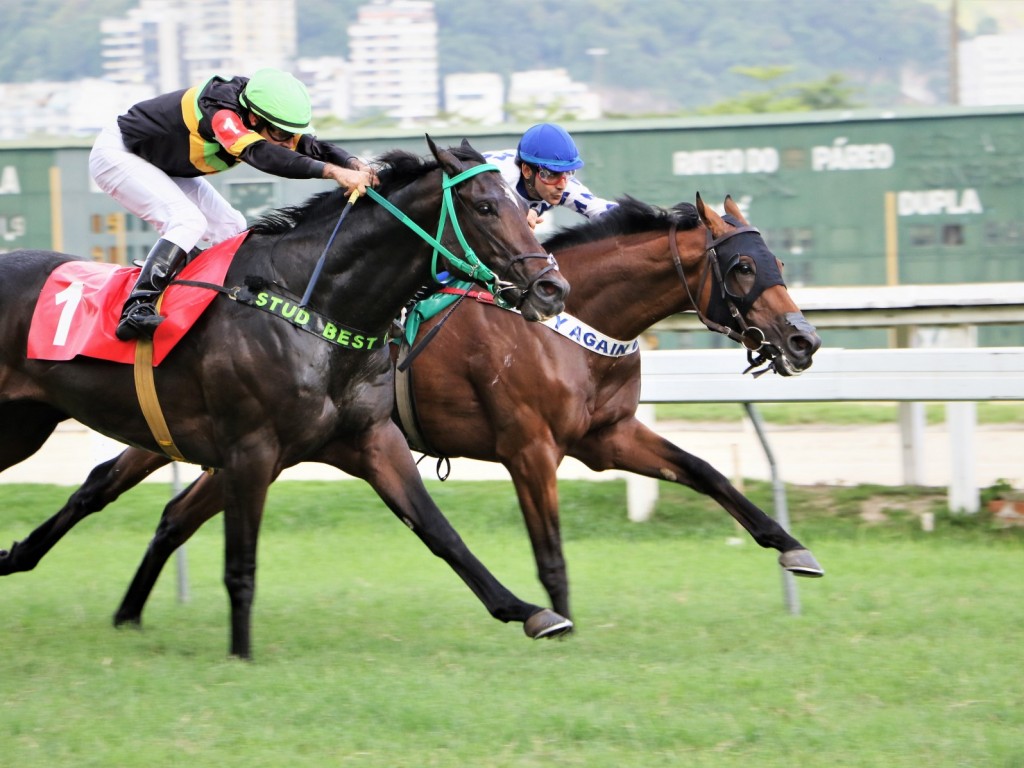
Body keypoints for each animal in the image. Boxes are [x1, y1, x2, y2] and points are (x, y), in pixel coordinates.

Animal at [0, 138, 573, 655]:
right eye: (484, 207)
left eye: (523, 206)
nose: (552, 289)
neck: (313, 306)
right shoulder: (250, 449)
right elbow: (241, 563)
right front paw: (241, 654)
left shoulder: (371, 438)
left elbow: (440, 532)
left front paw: (533, 612)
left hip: (29, 424)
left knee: (103, 489)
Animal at [0, 192, 815, 630]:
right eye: (744, 265)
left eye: (776, 257)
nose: (802, 339)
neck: (567, 321)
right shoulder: (529, 445)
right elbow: (549, 549)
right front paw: (558, 615)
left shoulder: (606, 436)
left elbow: (706, 471)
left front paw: (791, 548)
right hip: (182, 433)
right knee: (103, 485)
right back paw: (34, 561)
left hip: (246, 448)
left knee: (173, 515)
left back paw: (126, 611)